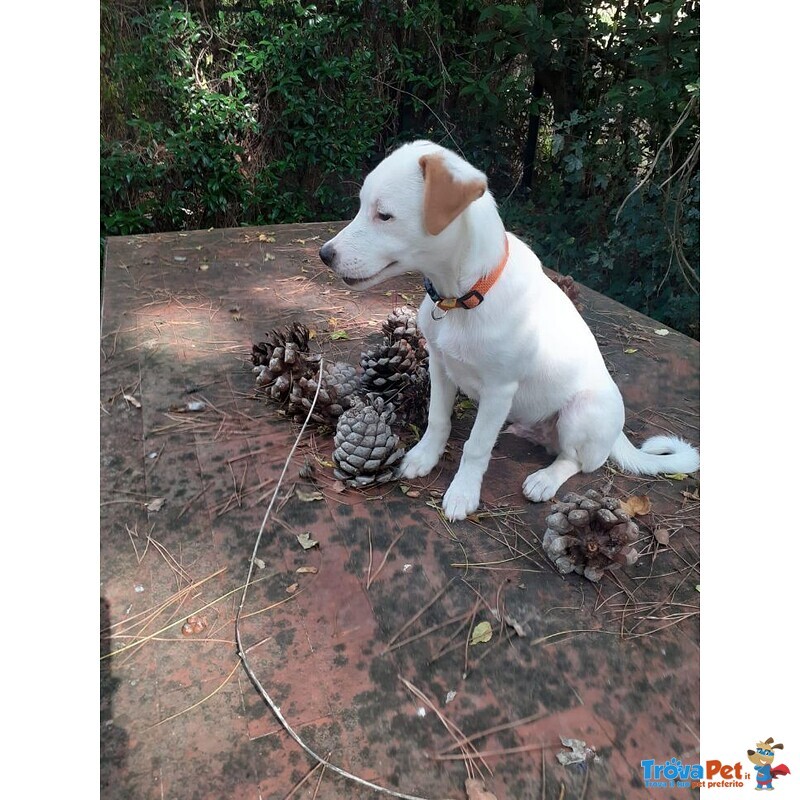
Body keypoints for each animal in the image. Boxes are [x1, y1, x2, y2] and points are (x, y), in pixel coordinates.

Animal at [318, 141, 700, 520]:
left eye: (384, 215)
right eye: (362, 206)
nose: (324, 254)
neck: (463, 297)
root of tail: (617, 434)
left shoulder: (499, 391)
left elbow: (476, 446)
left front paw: (463, 493)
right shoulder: (440, 366)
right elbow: (437, 419)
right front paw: (425, 457)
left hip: (581, 413)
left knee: (576, 461)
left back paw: (545, 480)